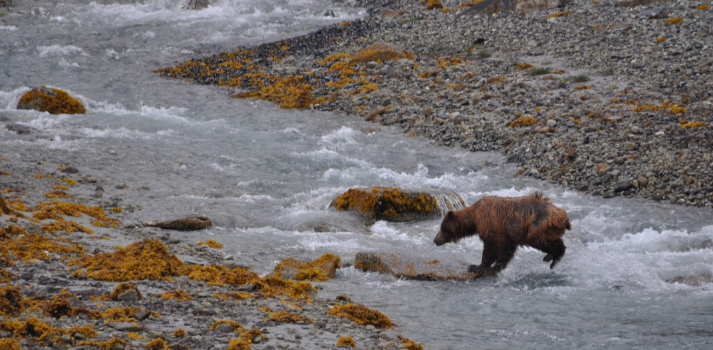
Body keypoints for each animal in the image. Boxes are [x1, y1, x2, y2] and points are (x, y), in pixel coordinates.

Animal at [432, 191, 572, 276]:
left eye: (442, 227)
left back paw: (554, 258)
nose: (435, 240)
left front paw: (476, 267)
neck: (475, 217)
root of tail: (564, 217)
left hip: (539, 224)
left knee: (538, 239)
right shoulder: (509, 236)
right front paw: (494, 268)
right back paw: (549, 256)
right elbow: (506, 253)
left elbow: (491, 250)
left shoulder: (492, 228)